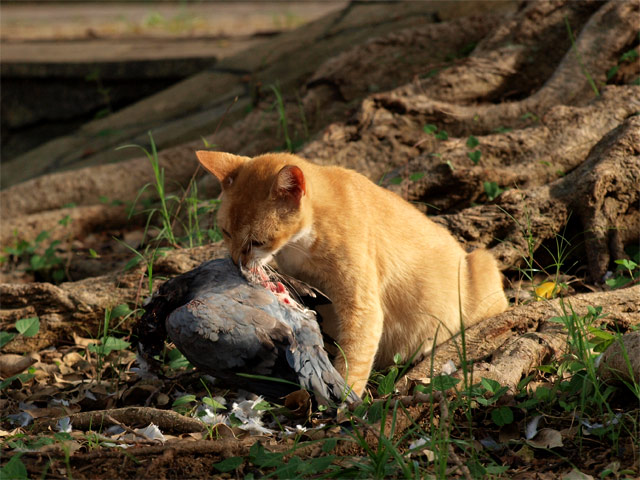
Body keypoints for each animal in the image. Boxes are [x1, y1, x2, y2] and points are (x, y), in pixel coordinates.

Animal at [198, 151, 508, 398]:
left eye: (256, 241)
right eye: (226, 232)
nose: (236, 262)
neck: (301, 245)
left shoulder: (361, 306)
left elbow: (353, 359)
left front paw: (345, 398)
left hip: (482, 265)